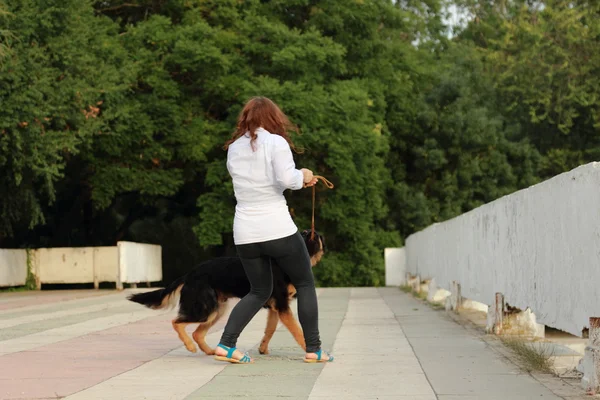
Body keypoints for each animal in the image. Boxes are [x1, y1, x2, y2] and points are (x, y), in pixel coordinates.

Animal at [126, 230, 324, 354]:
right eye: (303, 234)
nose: (313, 232)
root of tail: (190, 273)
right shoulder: (282, 306)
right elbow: (297, 330)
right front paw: (311, 350)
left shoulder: (277, 308)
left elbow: (270, 330)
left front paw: (262, 349)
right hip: (205, 310)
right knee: (176, 322)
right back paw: (190, 346)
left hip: (217, 310)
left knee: (197, 333)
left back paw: (211, 351)